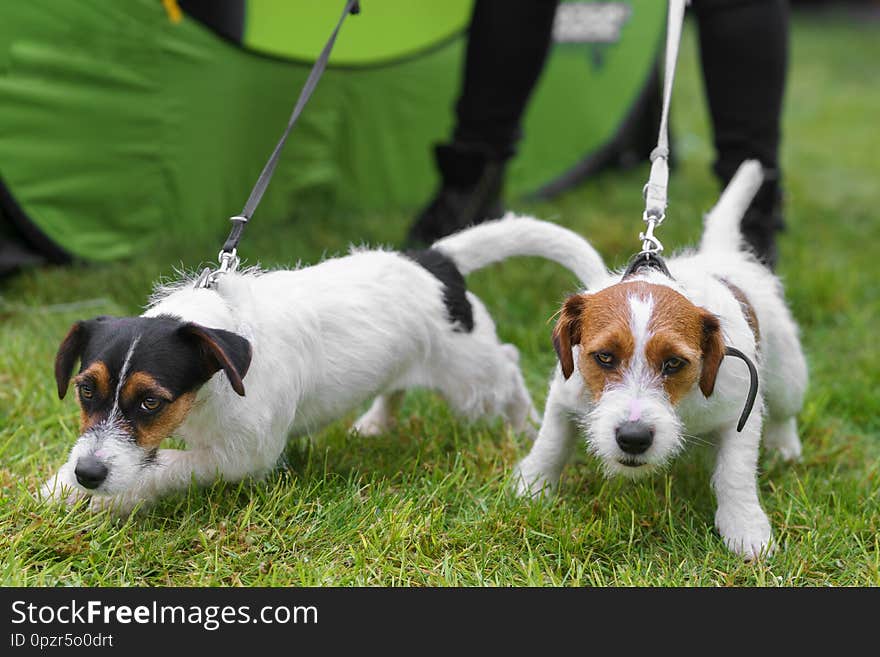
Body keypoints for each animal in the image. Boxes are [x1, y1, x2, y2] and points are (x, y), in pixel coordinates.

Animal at [512, 163, 808, 560]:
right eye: (604, 357)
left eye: (673, 363)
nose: (633, 438)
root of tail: (722, 255)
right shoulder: (564, 394)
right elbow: (551, 442)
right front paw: (532, 486)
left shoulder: (738, 414)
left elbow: (736, 473)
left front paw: (745, 528)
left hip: (788, 376)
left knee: (785, 413)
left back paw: (785, 448)